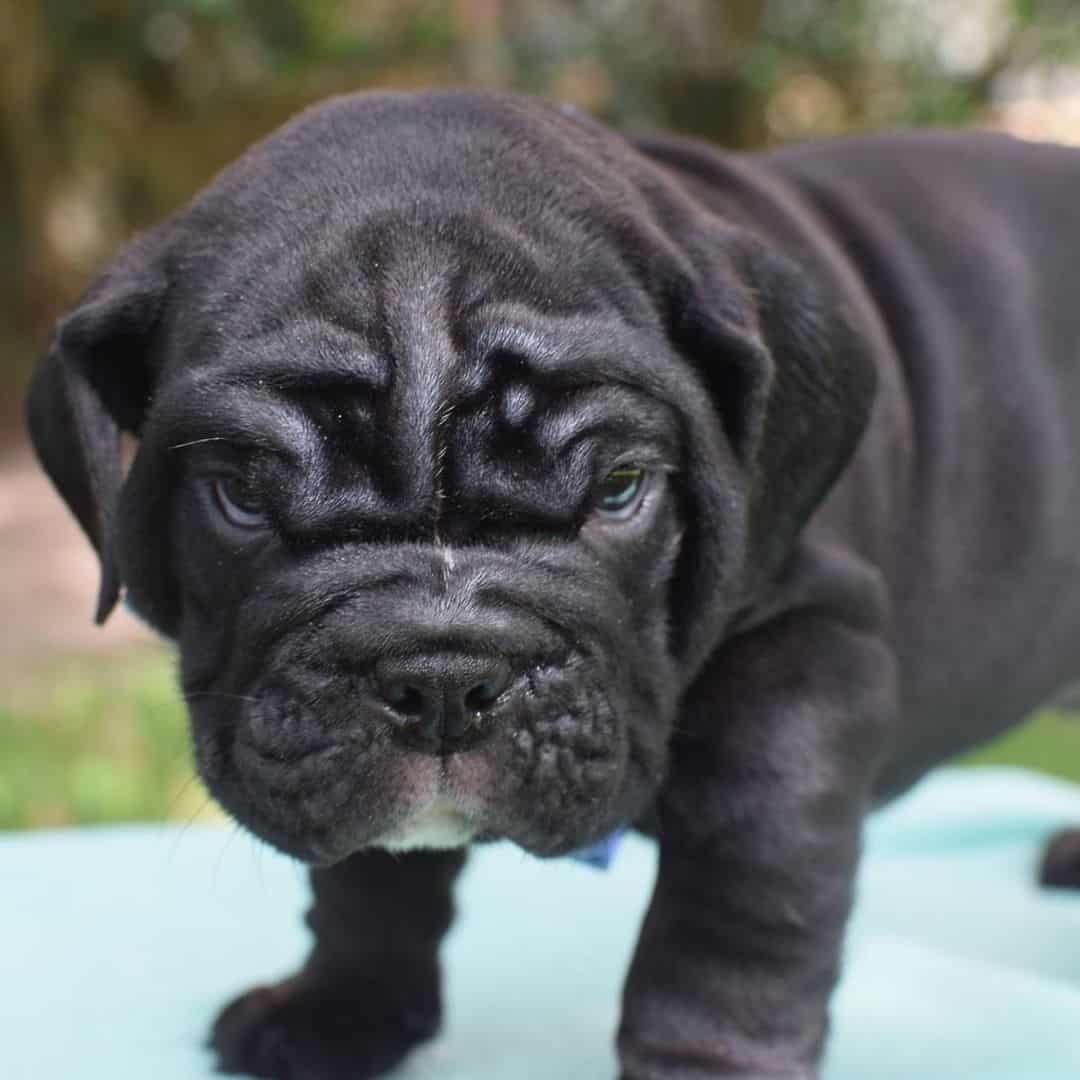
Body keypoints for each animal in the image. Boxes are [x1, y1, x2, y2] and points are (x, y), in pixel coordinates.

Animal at [25, 90, 1080, 1071]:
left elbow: (740, 902)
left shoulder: (809, 658)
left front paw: (704, 1062)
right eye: (240, 496)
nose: (444, 679)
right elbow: (366, 876)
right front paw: (339, 1011)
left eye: (620, 489)